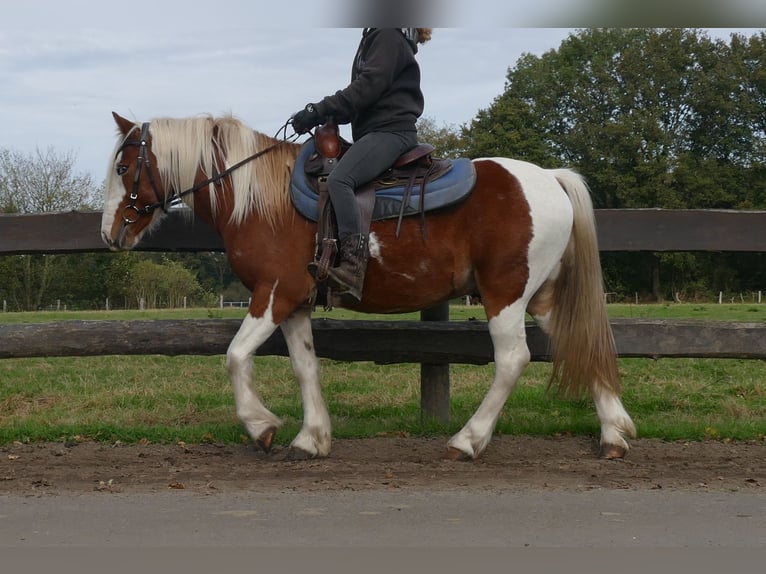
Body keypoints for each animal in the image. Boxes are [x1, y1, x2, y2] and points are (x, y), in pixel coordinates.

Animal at [102, 113, 640, 464]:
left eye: (124, 168)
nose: (110, 233)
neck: (262, 200)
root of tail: (550, 177)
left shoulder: (273, 293)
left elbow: (235, 357)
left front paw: (263, 427)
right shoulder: (295, 304)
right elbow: (305, 367)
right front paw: (312, 438)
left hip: (504, 294)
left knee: (512, 360)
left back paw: (467, 440)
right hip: (543, 296)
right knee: (582, 343)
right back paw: (614, 434)